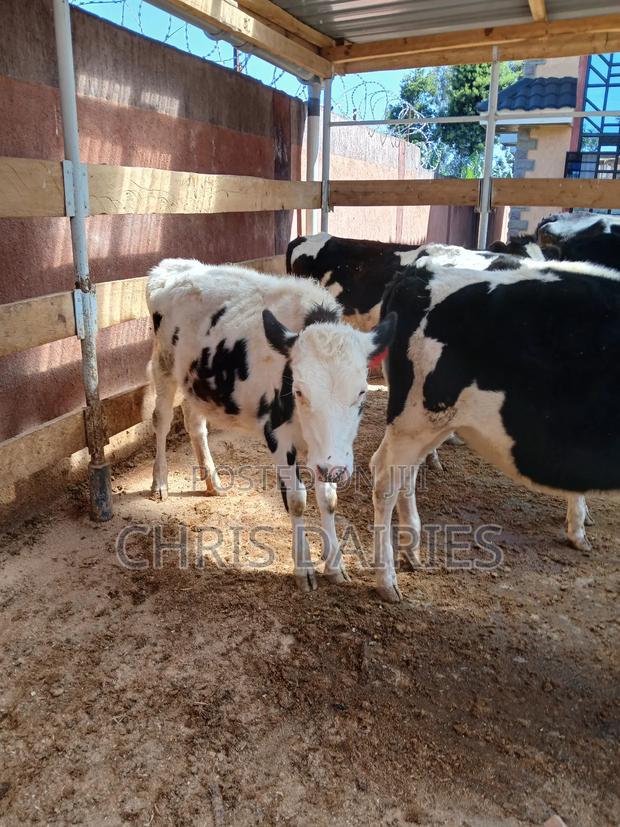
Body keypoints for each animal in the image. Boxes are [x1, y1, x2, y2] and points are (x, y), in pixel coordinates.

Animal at [145, 259, 396, 592]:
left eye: (362, 393)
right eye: (299, 391)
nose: (336, 470)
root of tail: (172, 266)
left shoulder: (327, 452)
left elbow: (328, 500)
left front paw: (335, 566)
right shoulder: (277, 434)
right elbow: (297, 500)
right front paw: (304, 569)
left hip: (195, 381)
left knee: (195, 423)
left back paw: (212, 481)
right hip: (163, 366)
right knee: (161, 420)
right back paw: (159, 482)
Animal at [371, 257, 620, 602]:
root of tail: (415, 273)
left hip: (430, 422)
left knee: (404, 472)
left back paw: (413, 552)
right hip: (415, 418)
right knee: (385, 480)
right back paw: (386, 580)